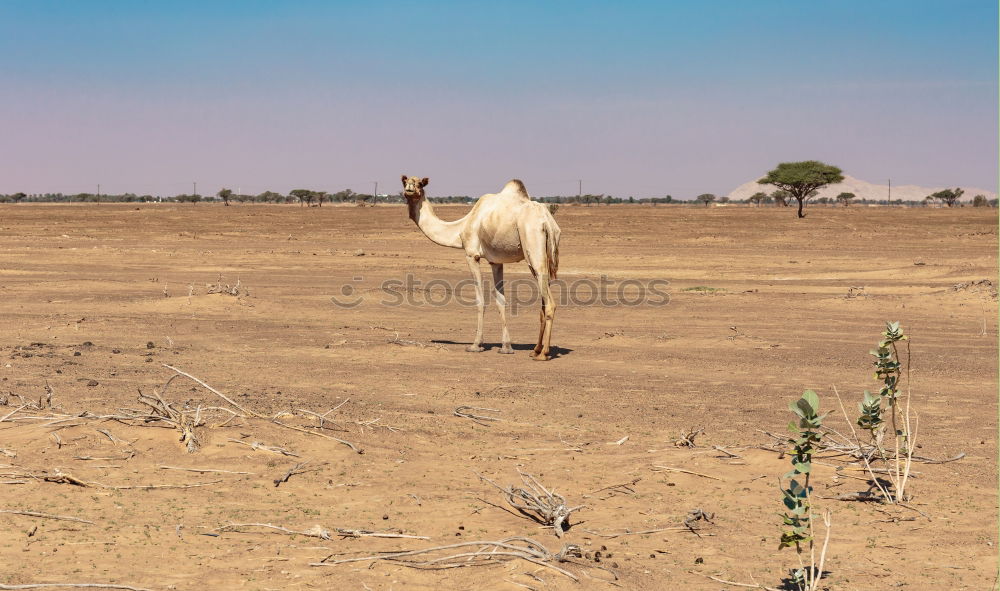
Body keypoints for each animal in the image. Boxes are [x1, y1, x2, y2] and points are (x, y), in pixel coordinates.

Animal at [400, 176, 564, 360]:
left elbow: (480, 300)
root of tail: (547, 222)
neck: (460, 228)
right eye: (405, 181)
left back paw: (544, 353)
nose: (409, 189)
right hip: (544, 254)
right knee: (543, 302)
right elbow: (501, 300)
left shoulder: (472, 255)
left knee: (550, 303)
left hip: (534, 249)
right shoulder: (496, 261)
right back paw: (535, 349)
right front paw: (506, 347)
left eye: (420, 184)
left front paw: (476, 345)